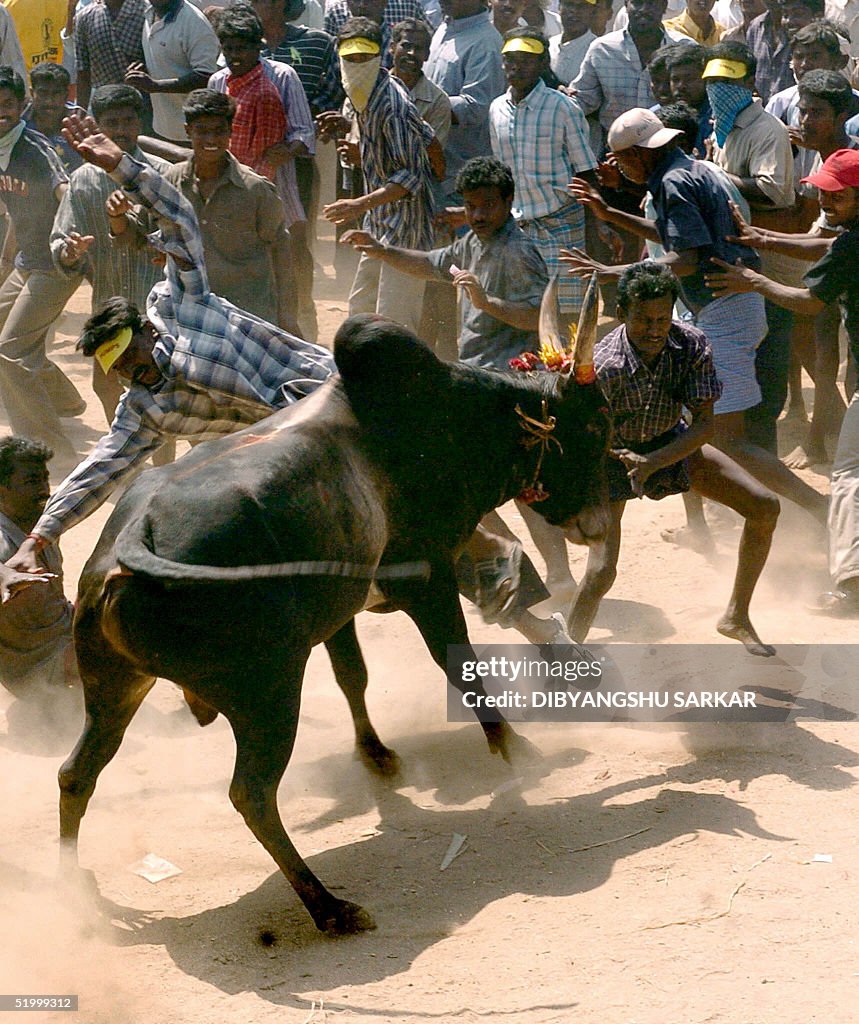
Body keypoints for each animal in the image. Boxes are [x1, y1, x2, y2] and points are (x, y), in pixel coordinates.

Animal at [58, 276, 610, 933]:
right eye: (594, 424)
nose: (597, 516)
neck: (454, 413)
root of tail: (125, 548)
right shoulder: (426, 575)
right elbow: (461, 668)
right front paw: (516, 750)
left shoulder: (340, 611)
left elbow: (354, 676)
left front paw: (377, 757)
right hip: (267, 692)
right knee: (251, 793)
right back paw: (328, 907)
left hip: (115, 688)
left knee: (76, 775)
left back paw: (77, 894)